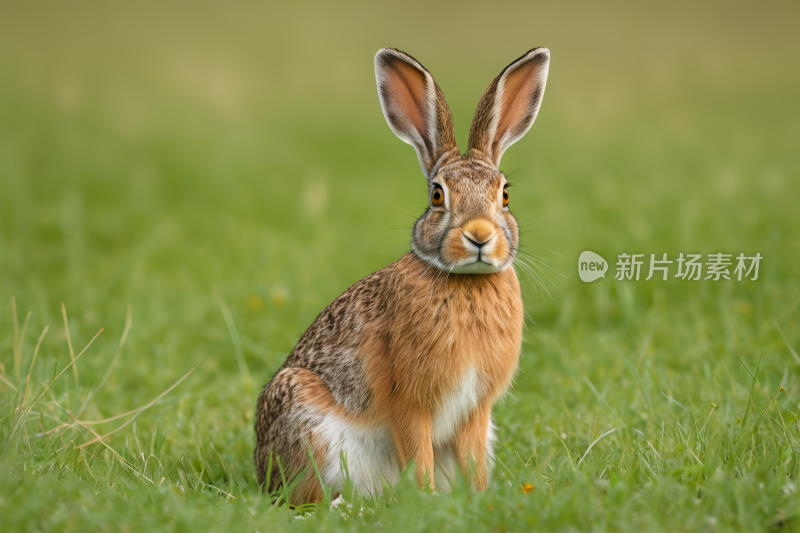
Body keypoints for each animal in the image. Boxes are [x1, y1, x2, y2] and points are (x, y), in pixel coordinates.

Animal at [256, 45, 552, 502]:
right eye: (437, 195)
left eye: (504, 195)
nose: (480, 235)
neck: (466, 281)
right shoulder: (410, 404)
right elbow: (418, 455)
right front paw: (426, 501)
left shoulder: (475, 410)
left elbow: (471, 460)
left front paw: (478, 498)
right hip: (309, 424)